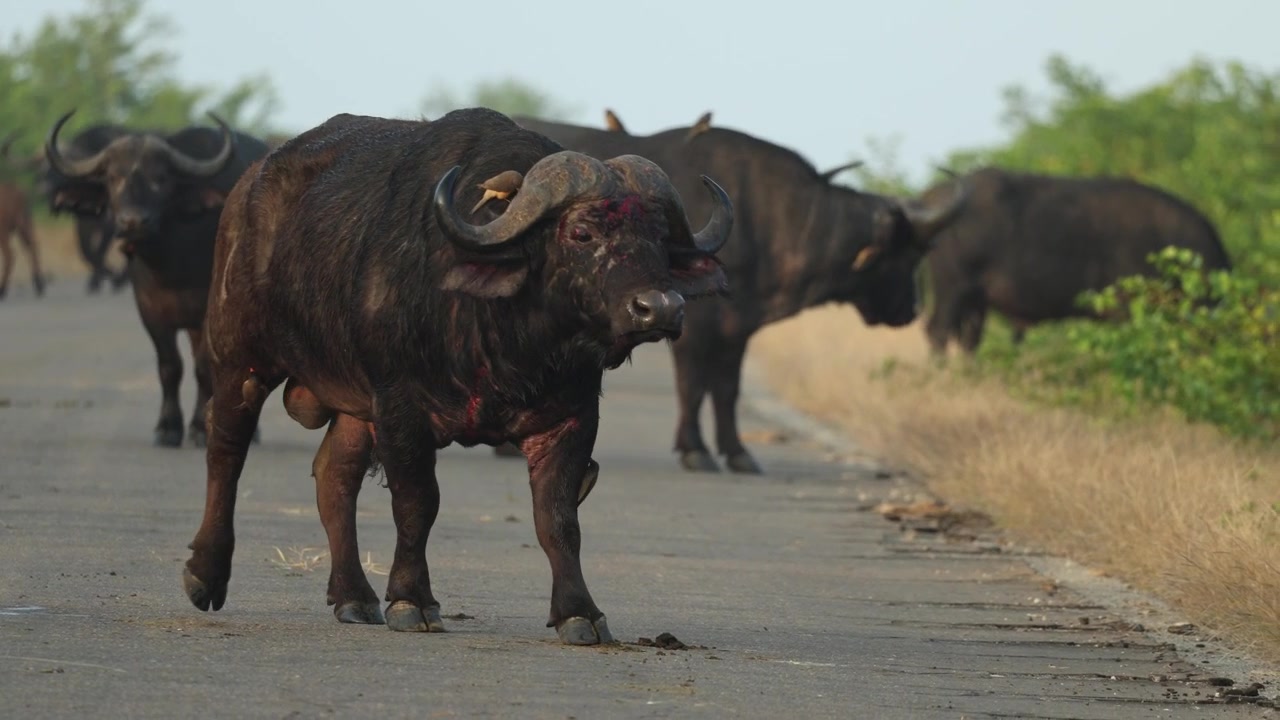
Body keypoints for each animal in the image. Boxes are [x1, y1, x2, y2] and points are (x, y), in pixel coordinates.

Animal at [0, 133, 44, 300]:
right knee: (33, 245)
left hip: (5, 231)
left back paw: (3, 290)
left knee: (10, 255)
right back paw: (39, 285)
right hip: (25, 224)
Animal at [42, 122, 132, 293]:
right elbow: (86, 251)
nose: (46, 188)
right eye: (45, 171)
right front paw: (102, 279)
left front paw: (109, 277)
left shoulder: (110, 224)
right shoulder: (82, 222)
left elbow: (99, 250)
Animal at [179, 108, 733, 645]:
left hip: (355, 403)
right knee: (225, 450)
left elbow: (558, 519)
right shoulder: (401, 409)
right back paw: (206, 573)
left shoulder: (572, 418)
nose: (660, 307)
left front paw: (580, 612)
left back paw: (354, 596)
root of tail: (247, 190)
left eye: (660, 240)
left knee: (335, 474)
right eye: (581, 233)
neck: (510, 339)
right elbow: (418, 504)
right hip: (239, 359)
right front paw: (411, 600)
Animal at [512, 111, 967, 474]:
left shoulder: (736, 328)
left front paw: (738, 452)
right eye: (906, 252)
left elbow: (727, 389)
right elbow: (693, 386)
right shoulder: (690, 323)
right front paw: (696, 451)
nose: (911, 310)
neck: (767, 218)